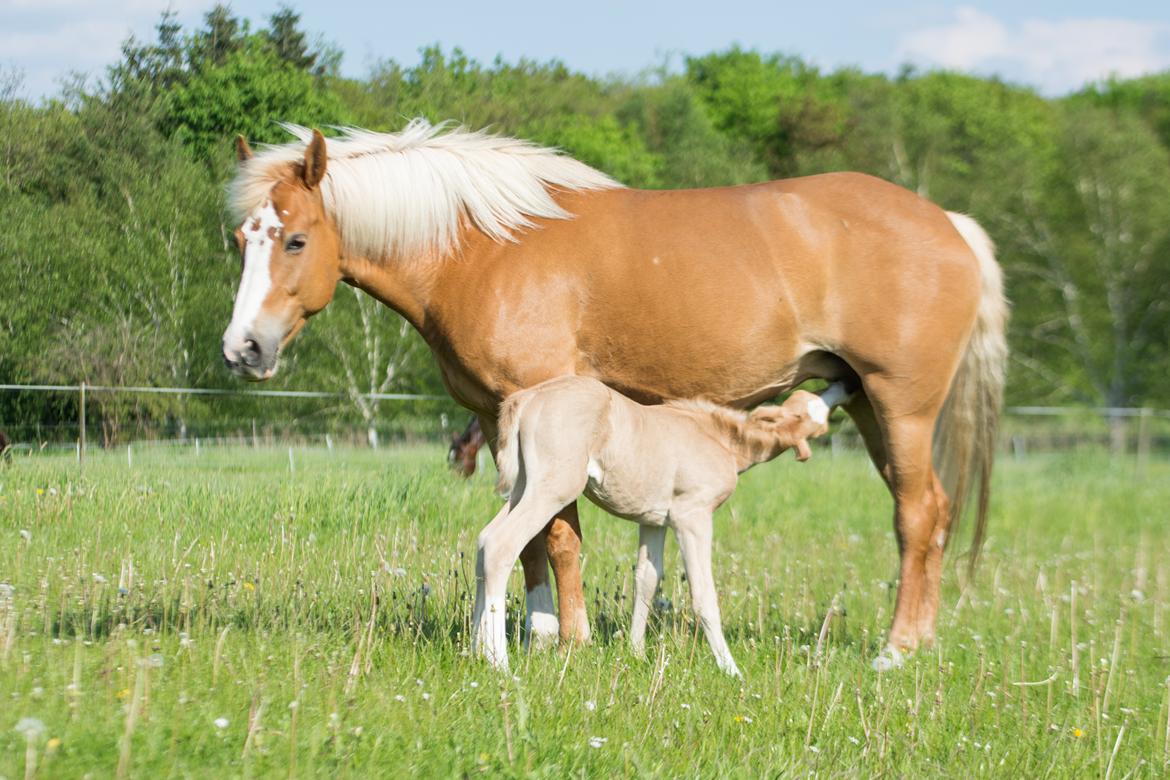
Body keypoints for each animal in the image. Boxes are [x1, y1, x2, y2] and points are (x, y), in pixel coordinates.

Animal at [472, 374, 851, 673]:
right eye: (810, 411)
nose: (843, 383)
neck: (718, 438)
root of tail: (525, 400)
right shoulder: (692, 516)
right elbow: (703, 595)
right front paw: (730, 669)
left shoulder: (654, 521)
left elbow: (647, 580)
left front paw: (636, 652)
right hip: (553, 488)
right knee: (501, 545)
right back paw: (498, 661)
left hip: (523, 487)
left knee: (484, 541)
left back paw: (476, 649)